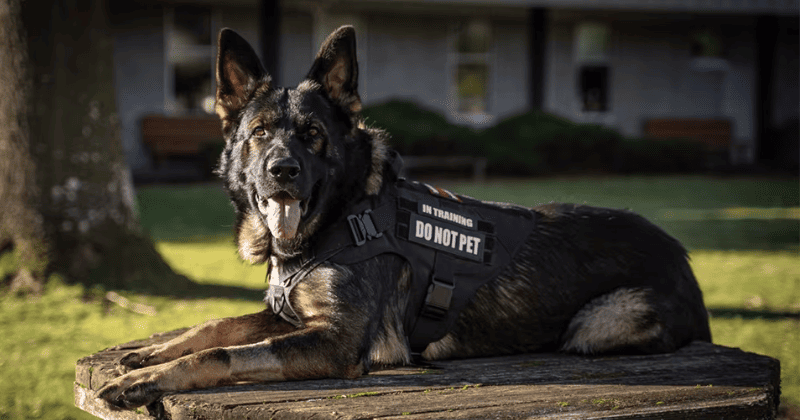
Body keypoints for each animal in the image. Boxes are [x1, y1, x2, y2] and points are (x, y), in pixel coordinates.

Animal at [97, 24, 708, 408]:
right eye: (260, 133)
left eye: (312, 135)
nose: (282, 171)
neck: (340, 219)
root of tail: (682, 256)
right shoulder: (292, 318)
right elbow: (215, 326)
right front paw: (146, 355)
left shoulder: (336, 342)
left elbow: (223, 352)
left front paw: (150, 379)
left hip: (597, 324)